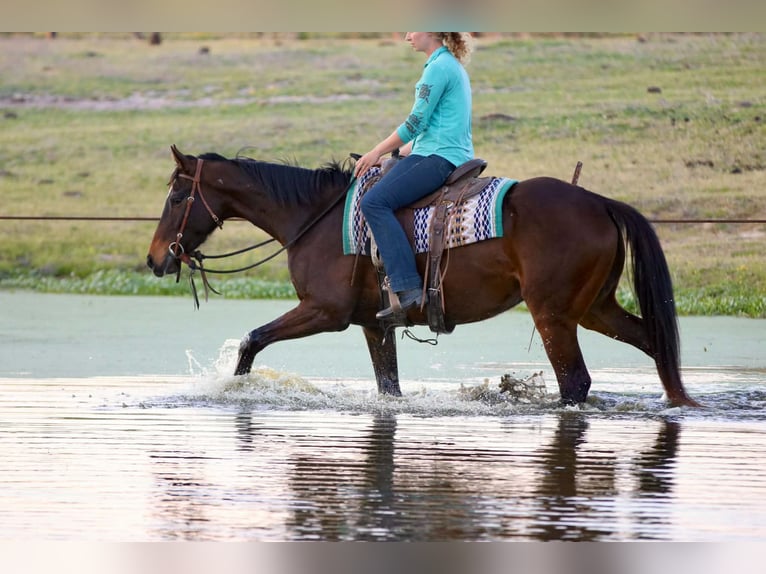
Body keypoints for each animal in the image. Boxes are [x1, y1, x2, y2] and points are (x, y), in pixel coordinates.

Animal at [147, 145, 700, 408]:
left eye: (177, 196)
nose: (156, 259)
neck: (315, 218)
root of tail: (600, 202)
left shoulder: (324, 312)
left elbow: (252, 340)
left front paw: (233, 391)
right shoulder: (374, 324)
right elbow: (388, 387)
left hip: (555, 315)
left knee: (576, 383)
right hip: (595, 309)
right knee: (655, 343)